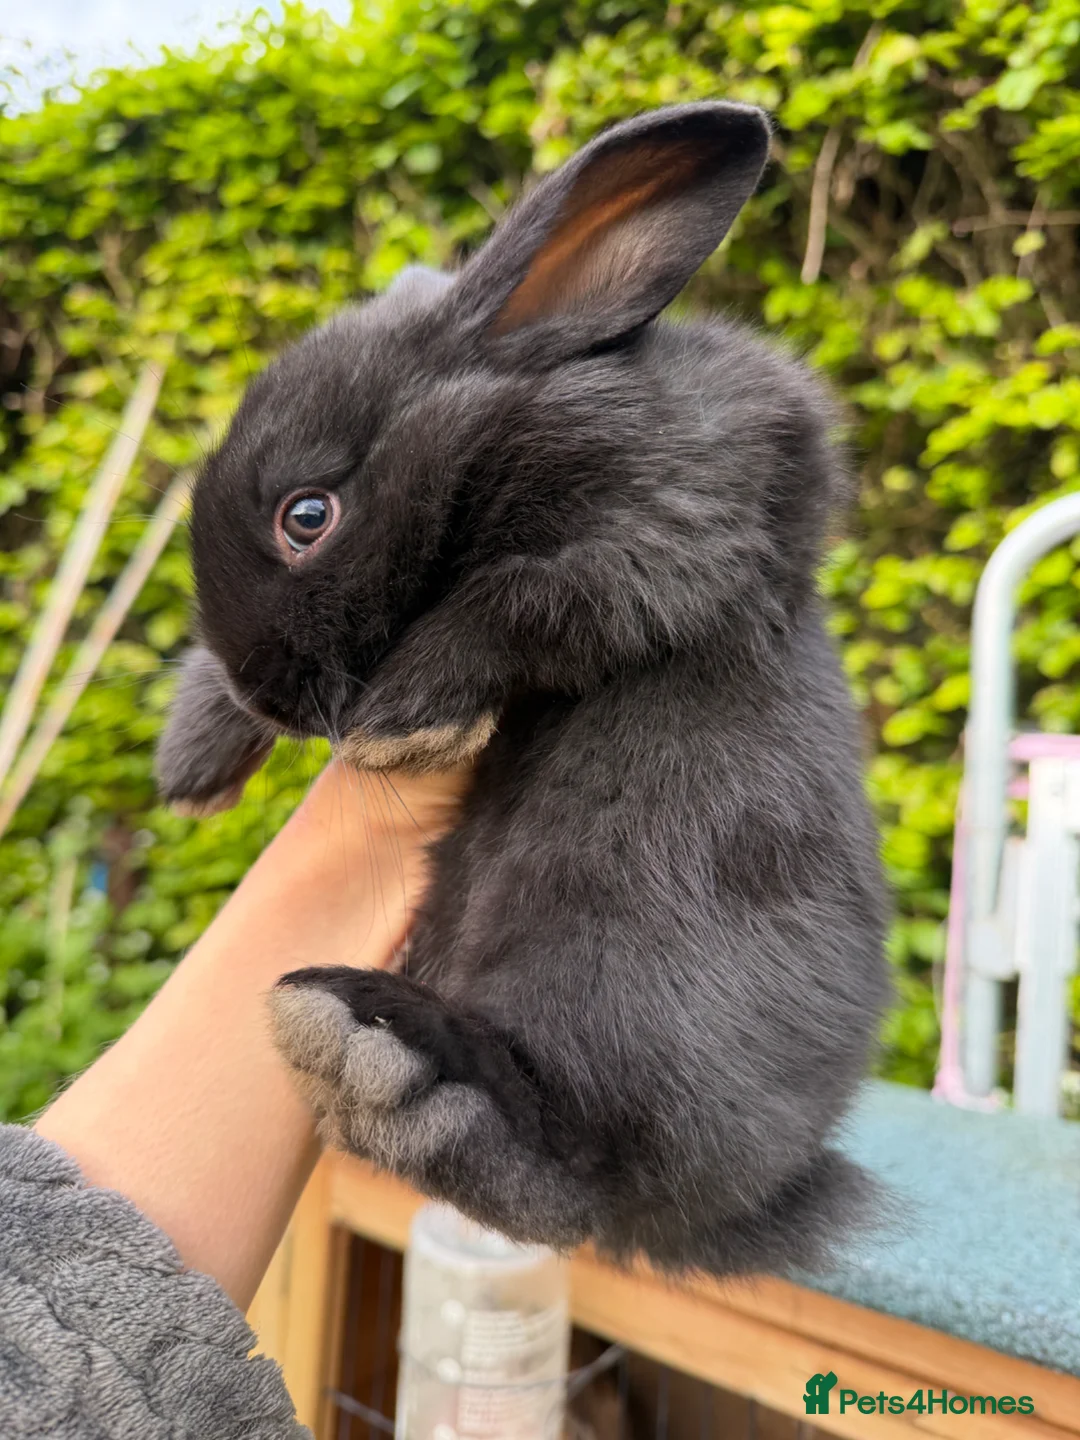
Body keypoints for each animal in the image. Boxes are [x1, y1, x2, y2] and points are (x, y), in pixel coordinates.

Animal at [155, 100, 889, 1277]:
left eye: (307, 516)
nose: (270, 700)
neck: (499, 415)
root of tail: (748, 1202)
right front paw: (195, 759)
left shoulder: (678, 514)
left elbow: (521, 601)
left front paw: (402, 717)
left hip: (611, 963)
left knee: (569, 1165)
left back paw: (391, 1067)